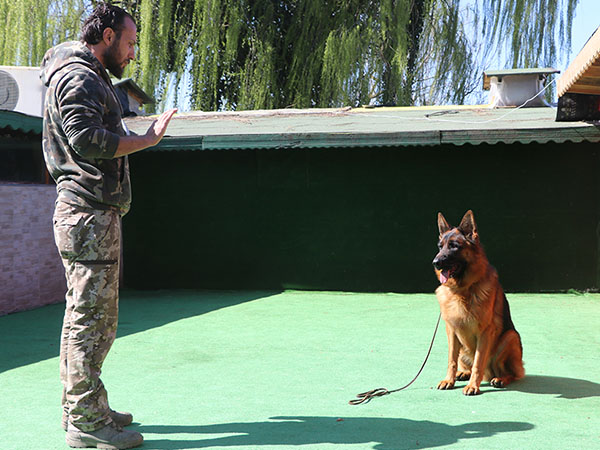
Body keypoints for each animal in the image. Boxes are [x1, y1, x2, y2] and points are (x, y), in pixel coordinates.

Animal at [432, 211, 524, 394]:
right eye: (440, 246)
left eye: (454, 246)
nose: (435, 263)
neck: (462, 290)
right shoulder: (451, 330)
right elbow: (451, 360)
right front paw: (449, 380)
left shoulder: (485, 332)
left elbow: (478, 362)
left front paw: (473, 386)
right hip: (463, 348)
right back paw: (463, 373)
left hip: (510, 337)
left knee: (512, 373)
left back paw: (500, 379)